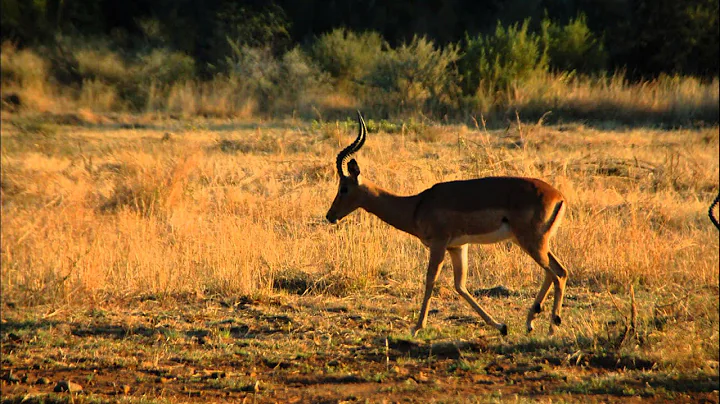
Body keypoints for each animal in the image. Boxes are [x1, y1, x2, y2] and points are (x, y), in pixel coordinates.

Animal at [330, 112, 572, 336]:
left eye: (344, 188)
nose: (329, 216)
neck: (416, 205)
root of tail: (559, 196)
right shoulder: (458, 247)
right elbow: (460, 285)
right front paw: (500, 326)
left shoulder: (439, 244)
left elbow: (430, 280)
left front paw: (416, 328)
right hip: (535, 243)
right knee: (557, 271)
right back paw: (532, 322)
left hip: (531, 243)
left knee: (557, 273)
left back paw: (552, 327)